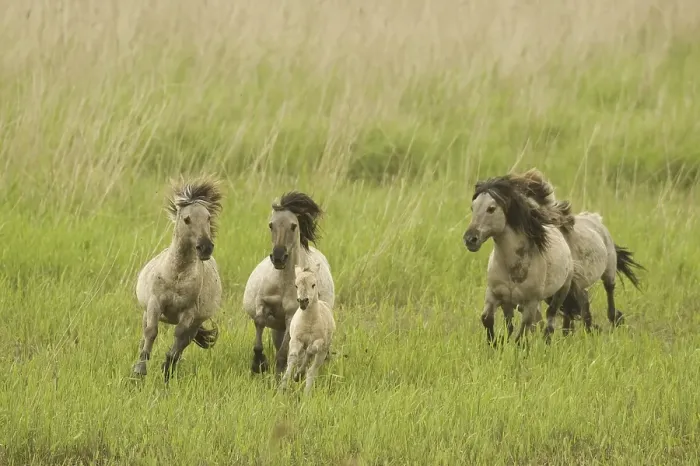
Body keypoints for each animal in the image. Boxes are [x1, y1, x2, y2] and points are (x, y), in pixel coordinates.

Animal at [132, 176, 223, 383]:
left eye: (208, 217)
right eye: (186, 219)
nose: (205, 248)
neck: (177, 276)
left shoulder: (188, 313)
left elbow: (178, 338)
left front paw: (167, 368)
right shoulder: (155, 304)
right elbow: (151, 332)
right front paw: (140, 371)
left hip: (195, 323)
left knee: (184, 341)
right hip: (146, 313)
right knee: (144, 336)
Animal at [242, 191, 335, 375]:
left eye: (293, 226)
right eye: (271, 225)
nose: (278, 257)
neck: (283, 284)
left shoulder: (291, 316)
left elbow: (283, 352)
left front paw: (273, 371)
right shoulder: (262, 303)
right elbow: (259, 322)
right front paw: (258, 364)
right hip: (276, 327)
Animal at [462, 174, 579, 345]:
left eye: (491, 208)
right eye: (472, 208)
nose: (470, 239)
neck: (513, 267)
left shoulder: (530, 303)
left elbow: (522, 334)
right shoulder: (495, 294)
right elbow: (488, 319)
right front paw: (496, 344)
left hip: (561, 291)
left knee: (549, 322)